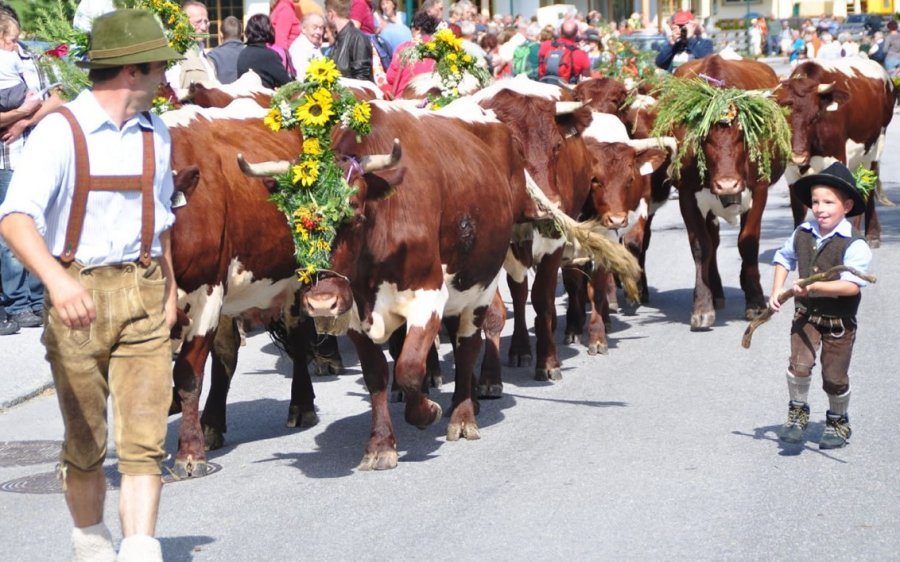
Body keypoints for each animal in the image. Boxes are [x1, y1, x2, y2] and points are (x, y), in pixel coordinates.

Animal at [668, 54, 788, 328]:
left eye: (743, 135)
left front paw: (755, 301)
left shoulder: (760, 189)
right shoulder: (686, 195)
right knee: (712, 240)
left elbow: (748, 242)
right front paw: (702, 306)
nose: (727, 185)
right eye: (704, 138)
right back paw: (716, 291)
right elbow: (701, 246)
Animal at [772, 57, 892, 247]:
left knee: (868, 188)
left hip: (876, 146)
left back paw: (871, 234)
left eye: (815, 117)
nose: (798, 156)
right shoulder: (790, 171)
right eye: (784, 116)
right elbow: (798, 209)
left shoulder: (837, 159)